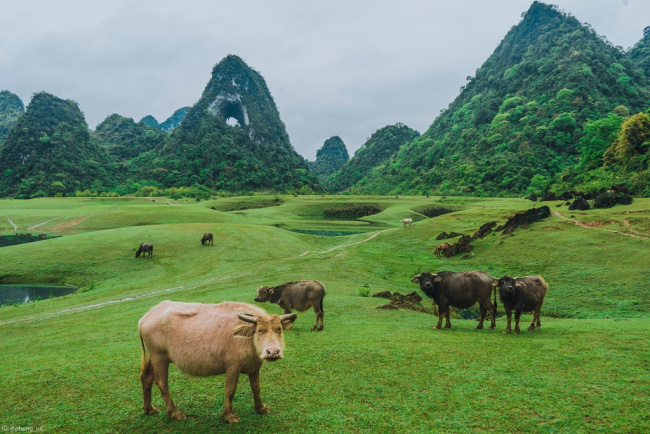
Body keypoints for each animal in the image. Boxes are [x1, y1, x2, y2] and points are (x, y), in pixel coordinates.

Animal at [140, 302, 298, 424]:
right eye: (260, 330)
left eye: (279, 329)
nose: (273, 352)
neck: (245, 339)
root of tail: (144, 318)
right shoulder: (233, 367)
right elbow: (230, 390)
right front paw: (228, 416)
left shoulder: (254, 368)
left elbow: (256, 388)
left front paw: (261, 408)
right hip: (159, 358)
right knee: (162, 383)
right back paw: (175, 413)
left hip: (153, 358)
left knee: (146, 378)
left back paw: (150, 409)